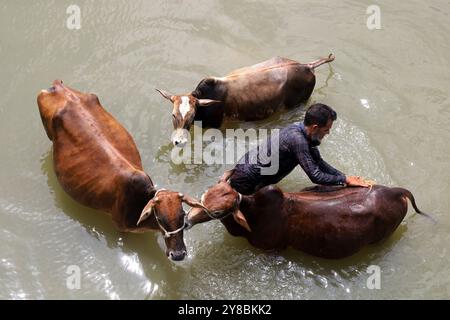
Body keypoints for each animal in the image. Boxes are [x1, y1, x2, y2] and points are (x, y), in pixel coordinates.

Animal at [38, 79, 204, 260]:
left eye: (182, 215)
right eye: (160, 219)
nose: (178, 254)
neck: (139, 202)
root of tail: (58, 86)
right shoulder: (121, 228)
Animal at [186, 171, 432, 258]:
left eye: (217, 211)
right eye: (205, 195)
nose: (187, 220)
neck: (252, 211)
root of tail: (396, 191)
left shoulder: (270, 247)